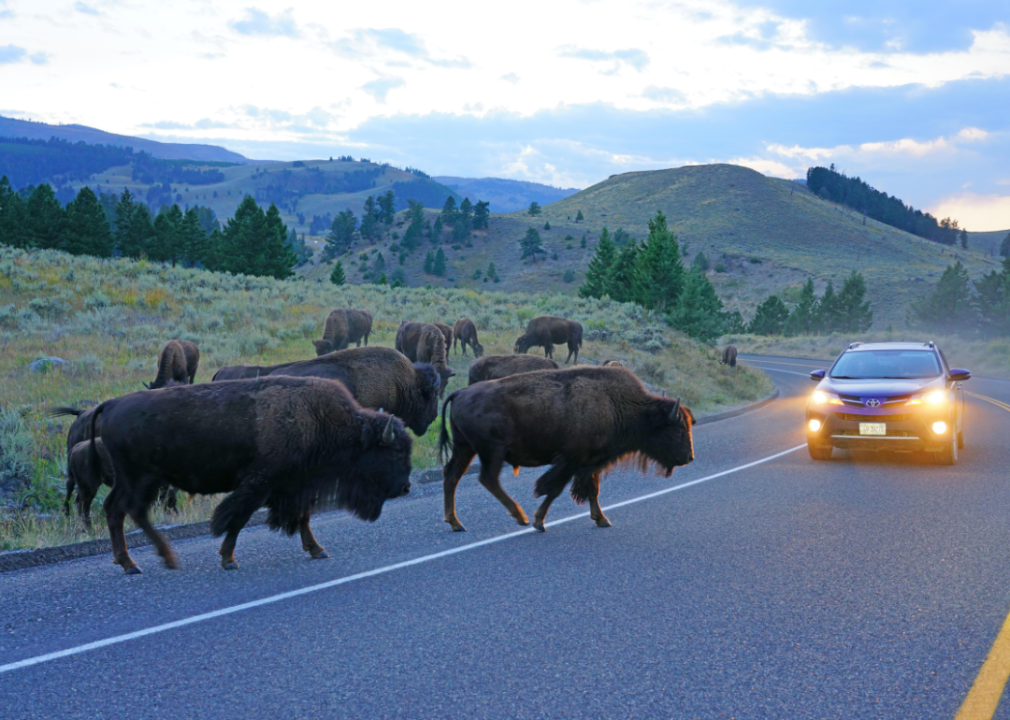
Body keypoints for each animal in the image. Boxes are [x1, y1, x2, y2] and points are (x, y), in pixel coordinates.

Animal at [90, 375, 412, 573]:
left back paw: (129, 563)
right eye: (396, 452)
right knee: (132, 510)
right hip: (143, 479)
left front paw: (317, 549)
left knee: (114, 509)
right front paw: (228, 559)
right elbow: (237, 519)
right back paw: (161, 559)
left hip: (131, 480)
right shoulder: (259, 485)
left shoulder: (298, 486)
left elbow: (303, 517)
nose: (406, 487)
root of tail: (111, 403)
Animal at [442, 367, 694, 529]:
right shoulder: (572, 460)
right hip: (491, 452)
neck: (616, 404)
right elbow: (554, 489)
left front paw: (602, 520)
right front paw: (538, 521)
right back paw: (520, 517)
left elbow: (592, 490)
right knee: (488, 478)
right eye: (679, 430)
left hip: (465, 447)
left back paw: (456, 523)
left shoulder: (591, 462)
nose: (689, 457)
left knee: (453, 475)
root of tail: (459, 392)